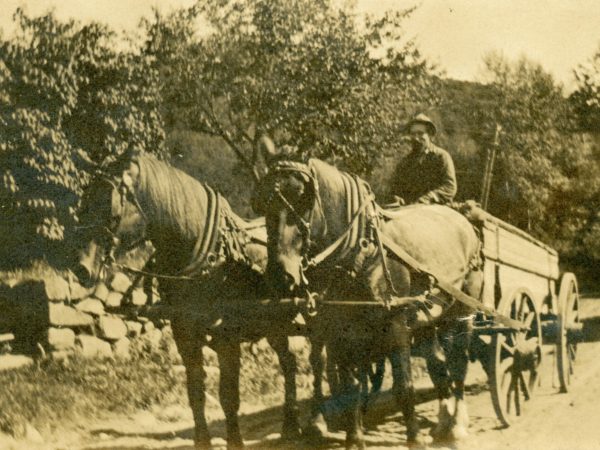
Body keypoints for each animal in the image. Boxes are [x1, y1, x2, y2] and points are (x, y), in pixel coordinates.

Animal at [73, 152, 310, 450]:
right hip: (272, 325)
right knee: (289, 361)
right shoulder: (184, 336)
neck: (206, 260)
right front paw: (202, 440)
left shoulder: (227, 339)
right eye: (84, 203)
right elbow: (195, 392)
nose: (81, 268)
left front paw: (235, 441)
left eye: (113, 210)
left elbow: (228, 395)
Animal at [258, 158, 482, 450]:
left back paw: (457, 425)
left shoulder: (396, 326)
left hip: (462, 311)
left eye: (304, 199)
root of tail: (464, 221)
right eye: (263, 203)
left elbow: (403, 385)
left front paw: (414, 438)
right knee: (437, 361)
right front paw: (354, 439)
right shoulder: (339, 333)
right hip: (426, 316)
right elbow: (351, 387)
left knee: (459, 362)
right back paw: (444, 421)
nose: (280, 275)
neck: (359, 253)